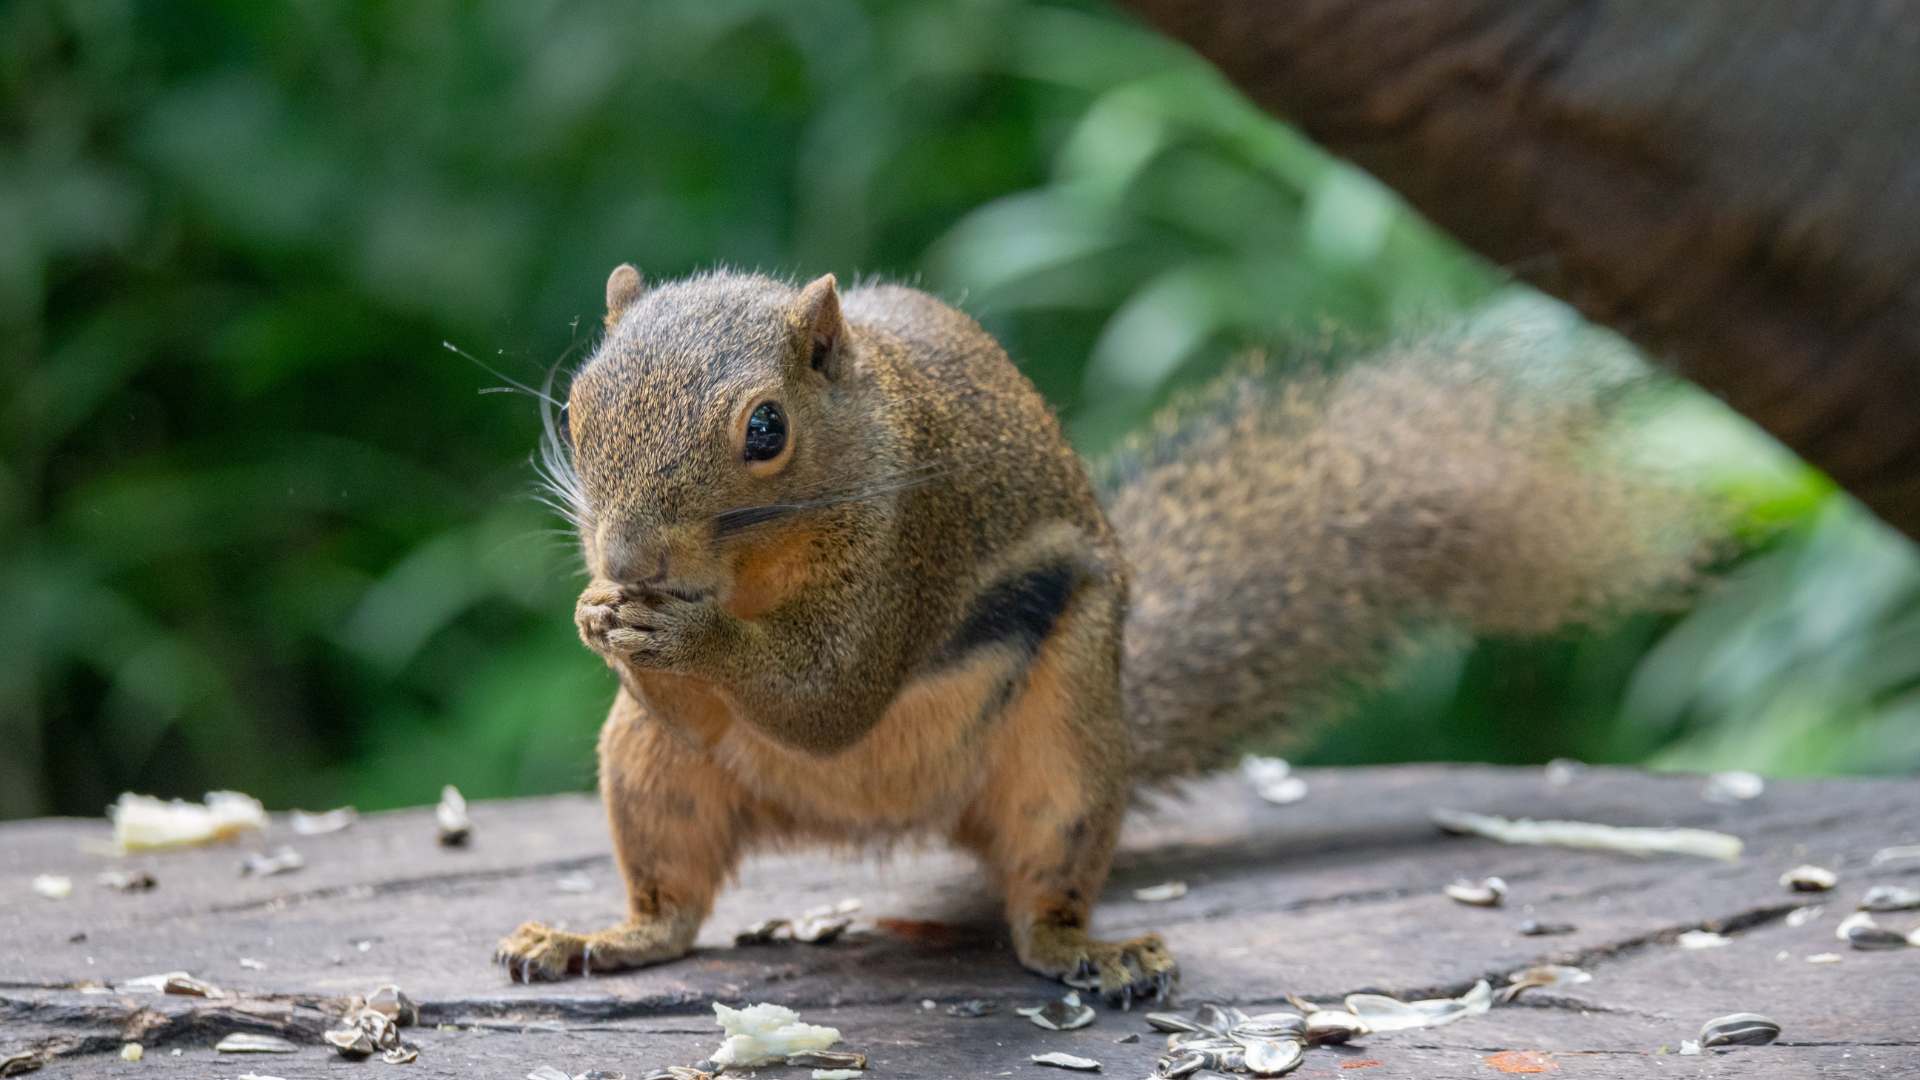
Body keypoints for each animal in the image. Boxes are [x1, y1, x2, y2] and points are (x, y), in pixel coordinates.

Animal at [493, 266, 1698, 1001]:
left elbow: (831, 694)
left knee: (1039, 896)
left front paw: (679, 632)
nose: (628, 563)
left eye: (765, 431)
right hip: (650, 770)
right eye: (580, 408)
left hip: (1067, 747)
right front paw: (599, 617)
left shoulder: (910, 550)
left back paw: (1092, 952)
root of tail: (886, 820)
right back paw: (595, 936)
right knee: (677, 902)